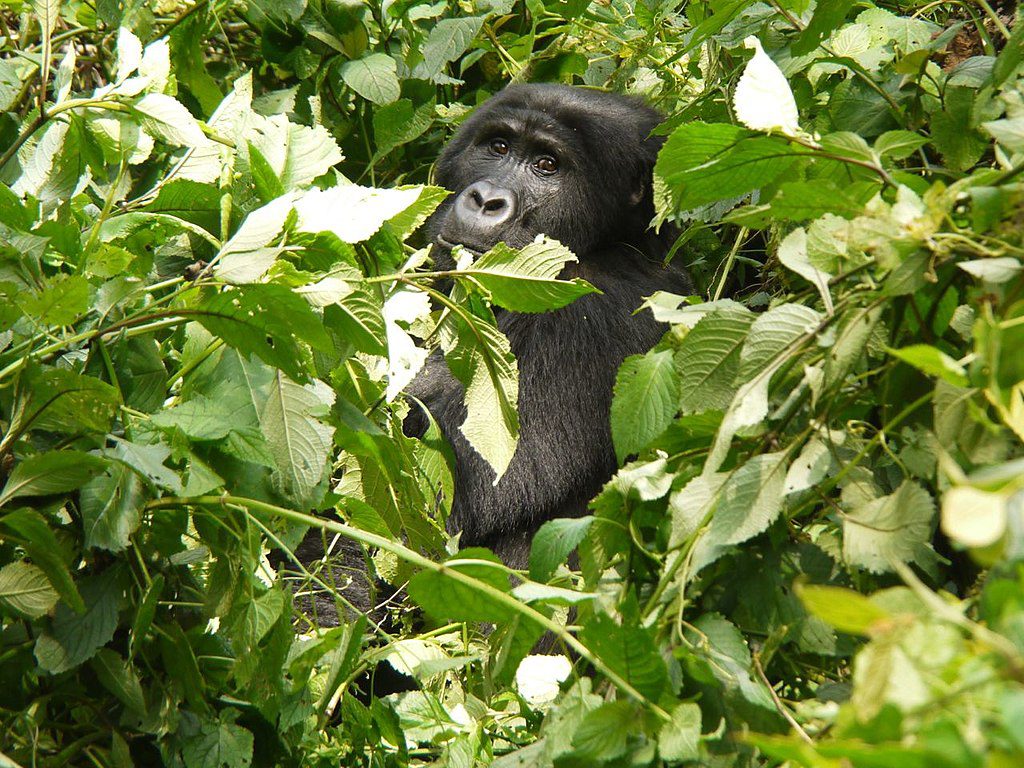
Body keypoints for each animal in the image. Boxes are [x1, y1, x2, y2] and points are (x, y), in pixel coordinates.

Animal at [284, 83, 692, 626]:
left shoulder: (588, 317)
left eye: (547, 165)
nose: (486, 199)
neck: (613, 243)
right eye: (498, 147)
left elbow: (408, 520)